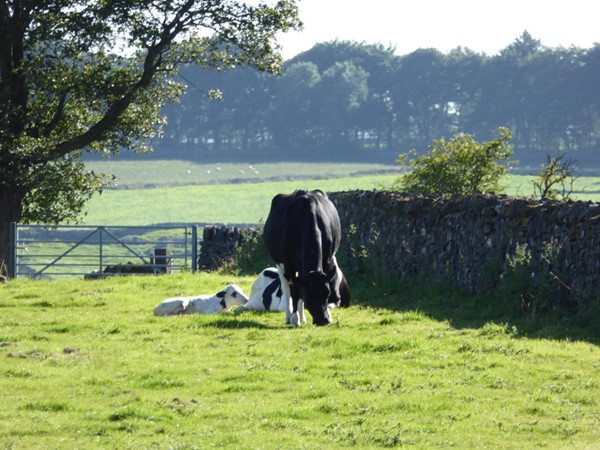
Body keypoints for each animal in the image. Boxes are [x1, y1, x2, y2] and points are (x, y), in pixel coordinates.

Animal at [264, 188, 352, 326]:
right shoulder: (289, 264)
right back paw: (289, 317)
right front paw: (294, 318)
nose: (323, 320)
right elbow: (294, 290)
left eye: (327, 293)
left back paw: (303, 317)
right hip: (280, 264)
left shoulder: (327, 259)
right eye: (309, 295)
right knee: (286, 288)